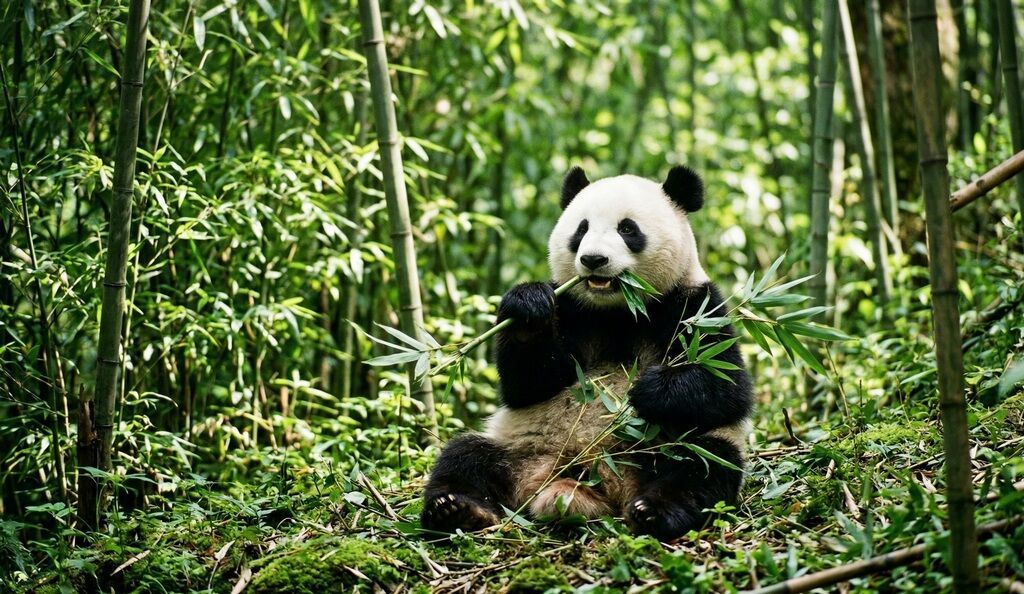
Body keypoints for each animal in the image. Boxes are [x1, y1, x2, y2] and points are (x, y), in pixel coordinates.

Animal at [421, 165, 754, 541]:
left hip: (667, 449)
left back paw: (654, 512)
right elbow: (528, 384)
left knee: (703, 465)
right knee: (464, 456)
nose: (593, 259)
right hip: (517, 448)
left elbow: (727, 387)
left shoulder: (695, 306)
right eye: (581, 229)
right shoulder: (572, 309)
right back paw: (457, 509)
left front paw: (647, 390)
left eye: (628, 229)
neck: (619, 311)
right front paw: (528, 308)